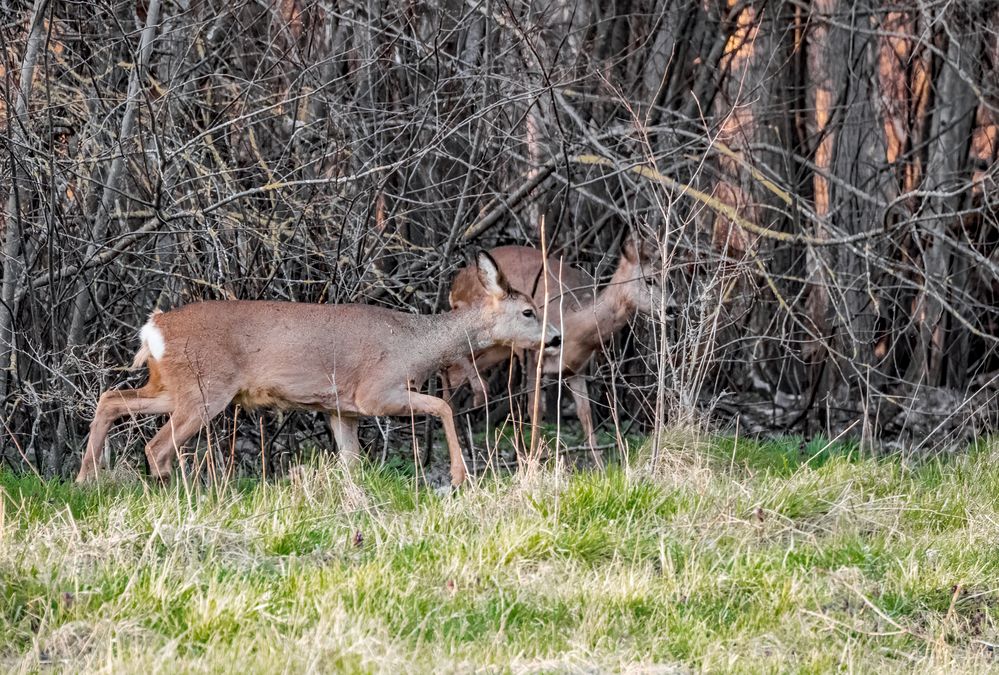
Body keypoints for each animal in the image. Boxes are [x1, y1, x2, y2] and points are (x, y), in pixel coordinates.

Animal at [76, 252, 564, 486]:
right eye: (527, 311)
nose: (556, 337)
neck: (416, 344)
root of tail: (153, 328)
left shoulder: (341, 409)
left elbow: (351, 463)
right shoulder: (376, 392)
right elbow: (443, 406)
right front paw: (462, 477)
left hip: (170, 385)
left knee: (110, 399)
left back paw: (85, 478)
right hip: (203, 389)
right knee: (156, 446)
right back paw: (179, 490)